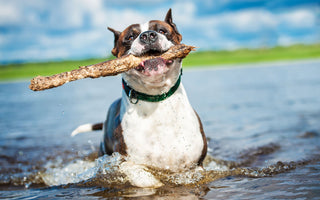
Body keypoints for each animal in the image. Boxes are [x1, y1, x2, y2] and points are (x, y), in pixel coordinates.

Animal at [72, 9, 208, 188]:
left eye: (162, 31)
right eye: (130, 37)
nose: (148, 35)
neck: (158, 99)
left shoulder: (195, 165)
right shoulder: (125, 162)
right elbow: (143, 178)